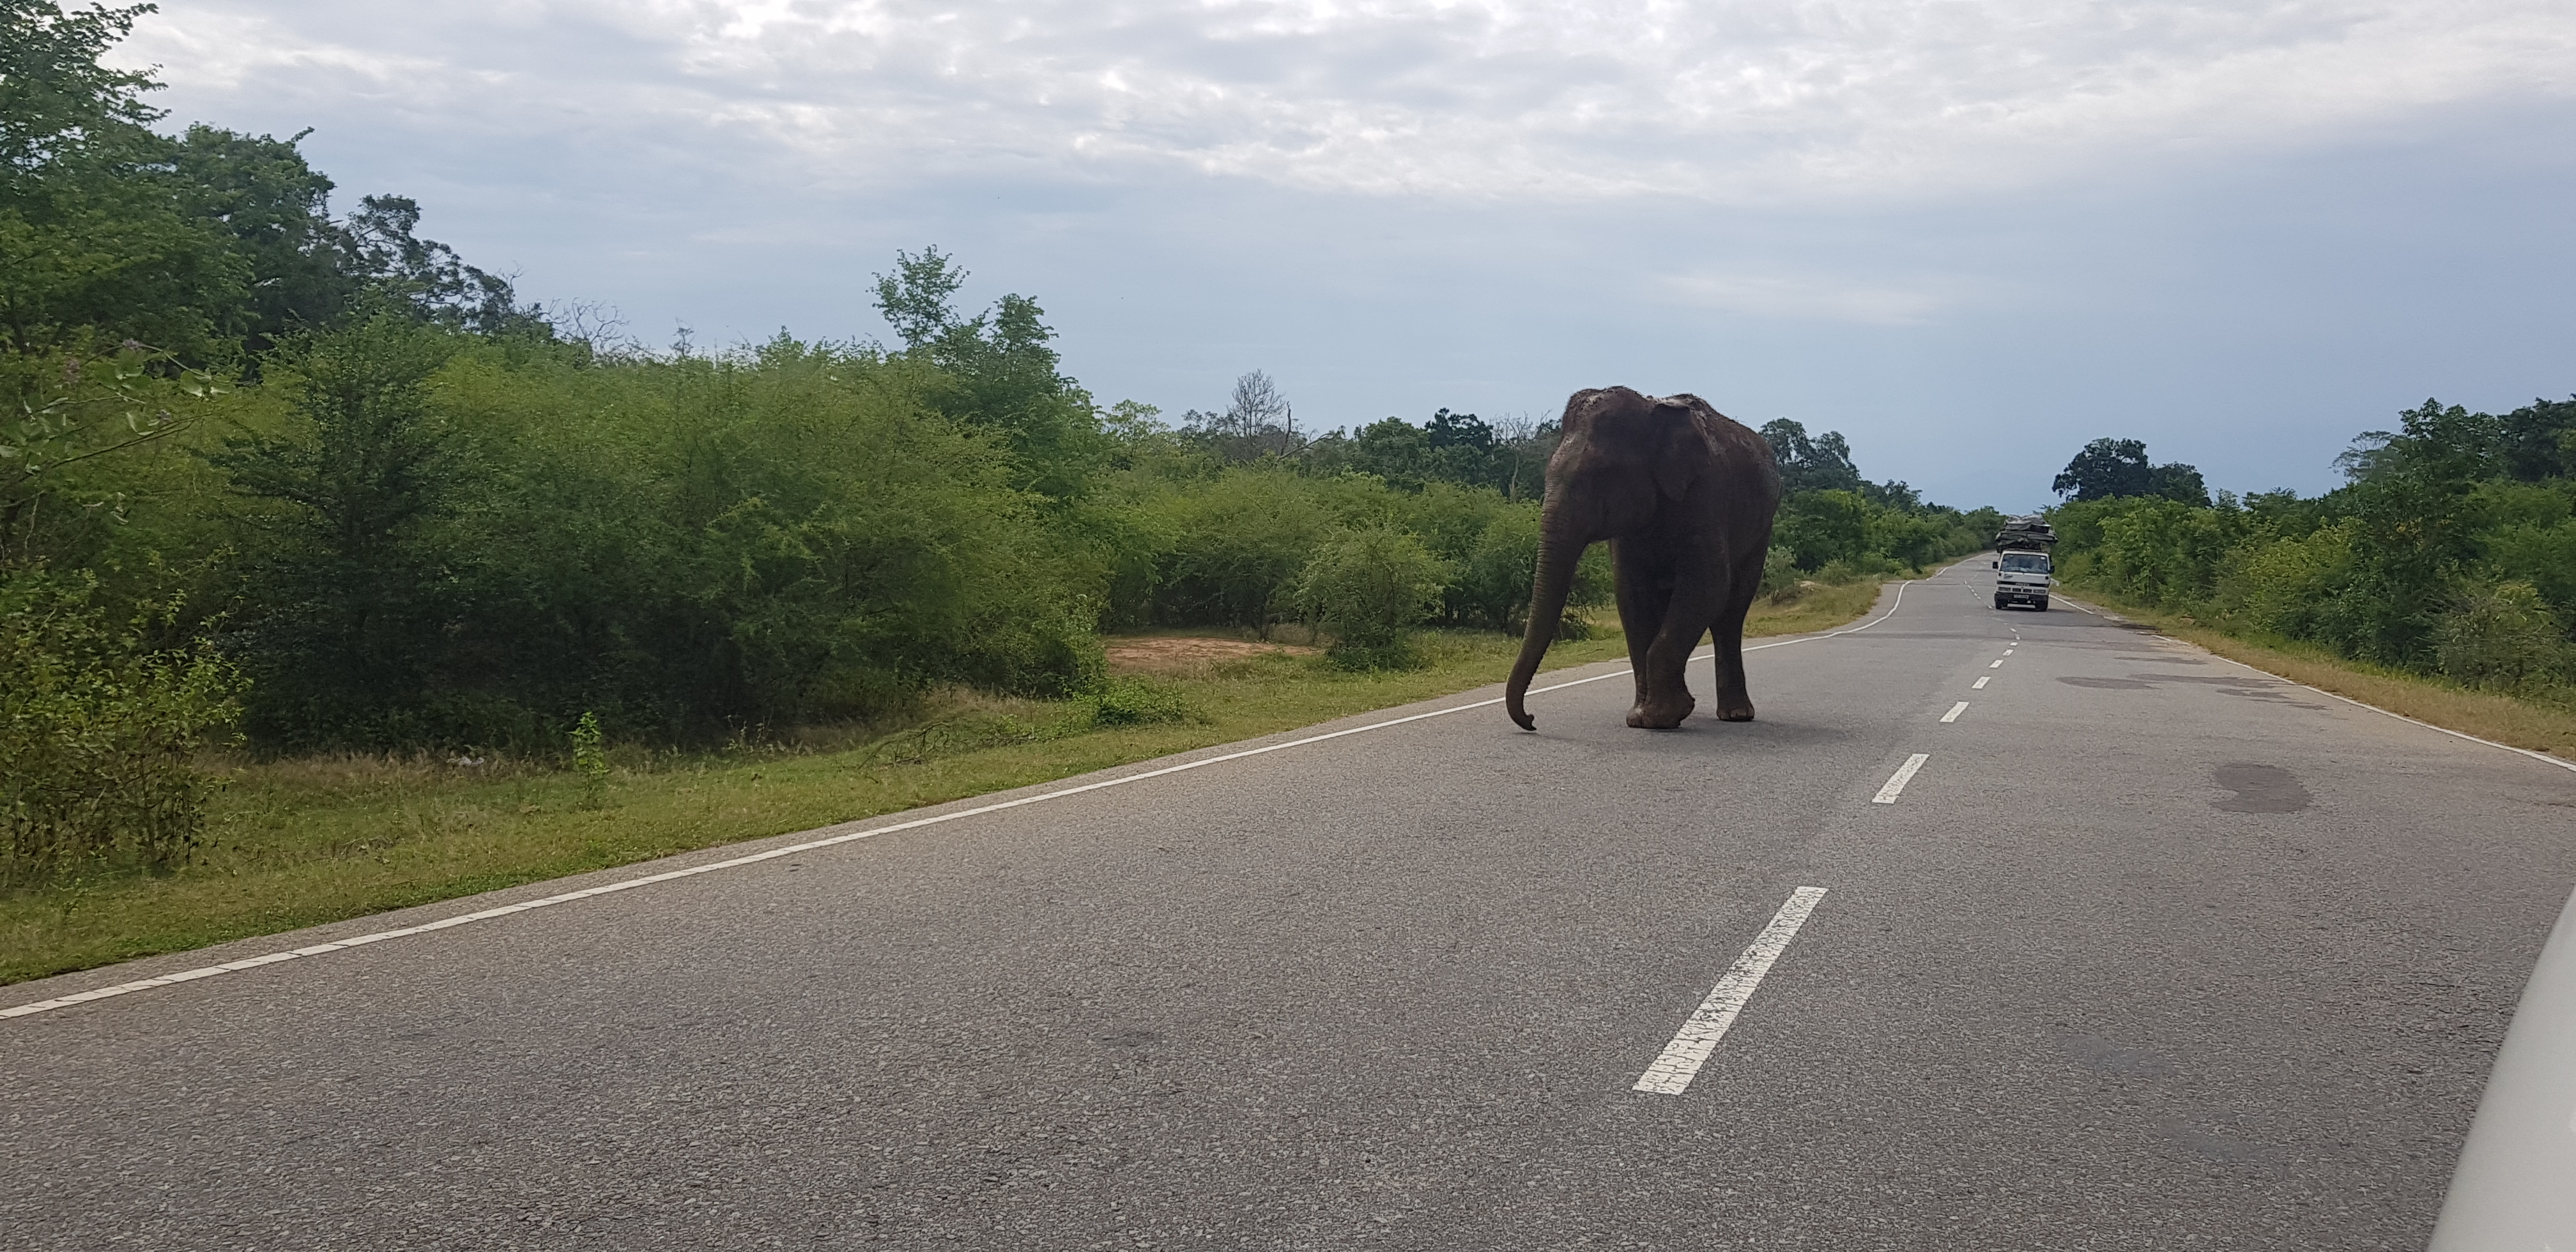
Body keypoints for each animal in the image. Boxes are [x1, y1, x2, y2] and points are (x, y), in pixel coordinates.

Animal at [1504, 386, 1782, 726]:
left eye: (1600, 475)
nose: (1531, 719)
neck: (1652, 415)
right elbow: (1631, 595)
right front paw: (1641, 718)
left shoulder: (1707, 495)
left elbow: (1708, 585)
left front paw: (1663, 716)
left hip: (1762, 529)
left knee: (1731, 611)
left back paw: (1737, 715)